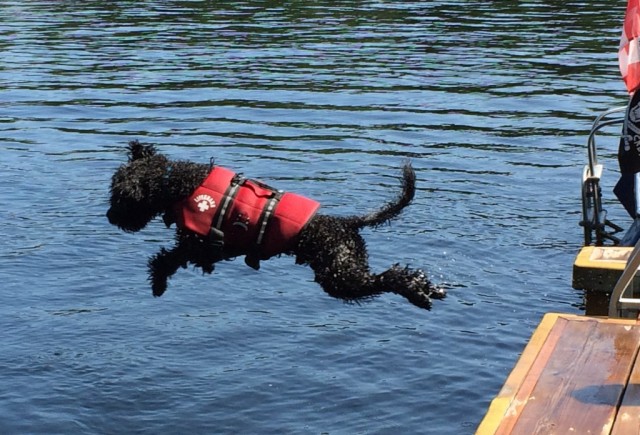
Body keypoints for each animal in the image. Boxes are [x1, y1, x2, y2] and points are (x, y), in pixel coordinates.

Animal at [106, 141, 444, 310]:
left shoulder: (200, 245)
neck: (177, 184)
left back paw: (417, 291)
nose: (110, 216)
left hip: (338, 276)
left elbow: (166, 259)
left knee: (388, 277)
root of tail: (346, 223)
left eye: (119, 196)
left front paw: (158, 283)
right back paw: (427, 288)